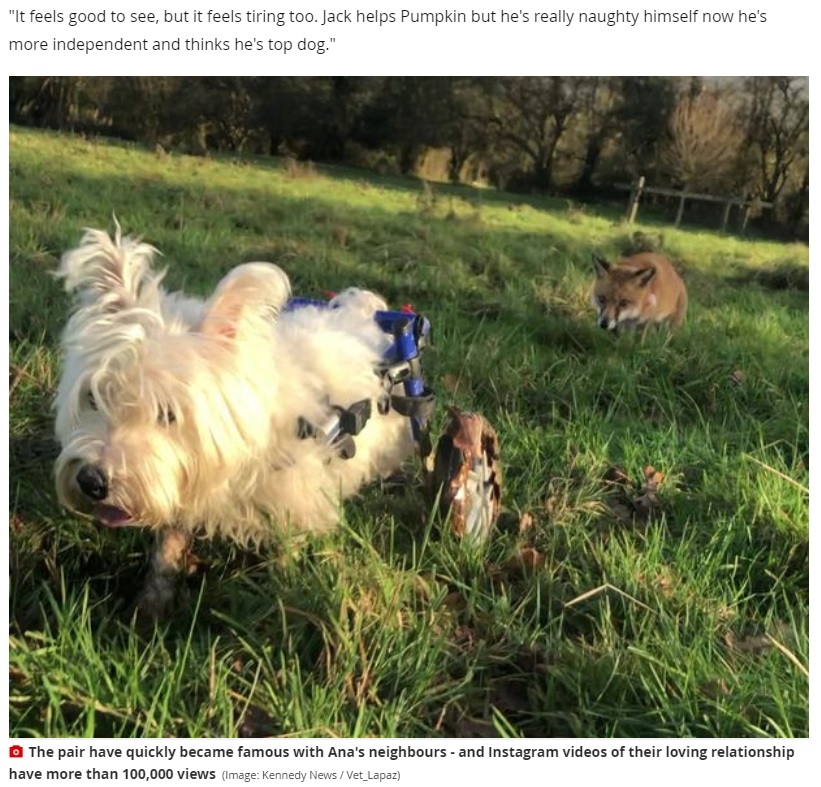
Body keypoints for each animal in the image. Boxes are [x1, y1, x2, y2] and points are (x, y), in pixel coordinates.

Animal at [53, 225, 416, 620]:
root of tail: (368, 308)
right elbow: (167, 548)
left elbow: (285, 554)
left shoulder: (296, 500)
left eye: (168, 413)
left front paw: (283, 594)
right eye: (93, 397)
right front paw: (152, 603)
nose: (91, 481)